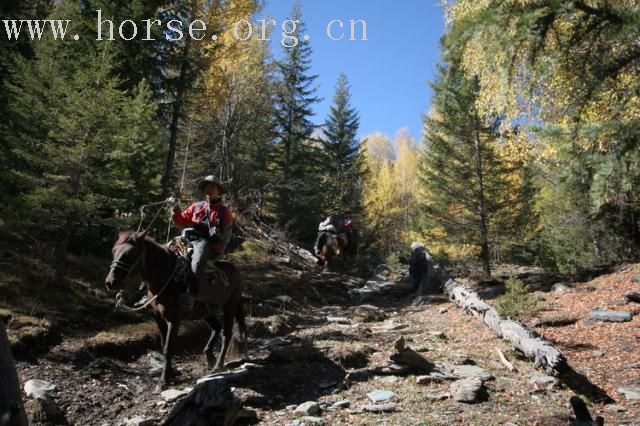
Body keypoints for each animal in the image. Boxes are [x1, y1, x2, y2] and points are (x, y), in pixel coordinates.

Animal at [105, 233, 245, 390]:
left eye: (130, 254)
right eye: (114, 251)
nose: (110, 282)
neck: (166, 278)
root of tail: (235, 270)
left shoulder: (174, 319)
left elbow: (168, 347)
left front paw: (164, 380)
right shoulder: (158, 318)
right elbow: (163, 345)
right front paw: (170, 373)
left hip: (229, 307)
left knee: (226, 334)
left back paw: (218, 366)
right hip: (205, 312)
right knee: (216, 328)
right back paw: (210, 358)